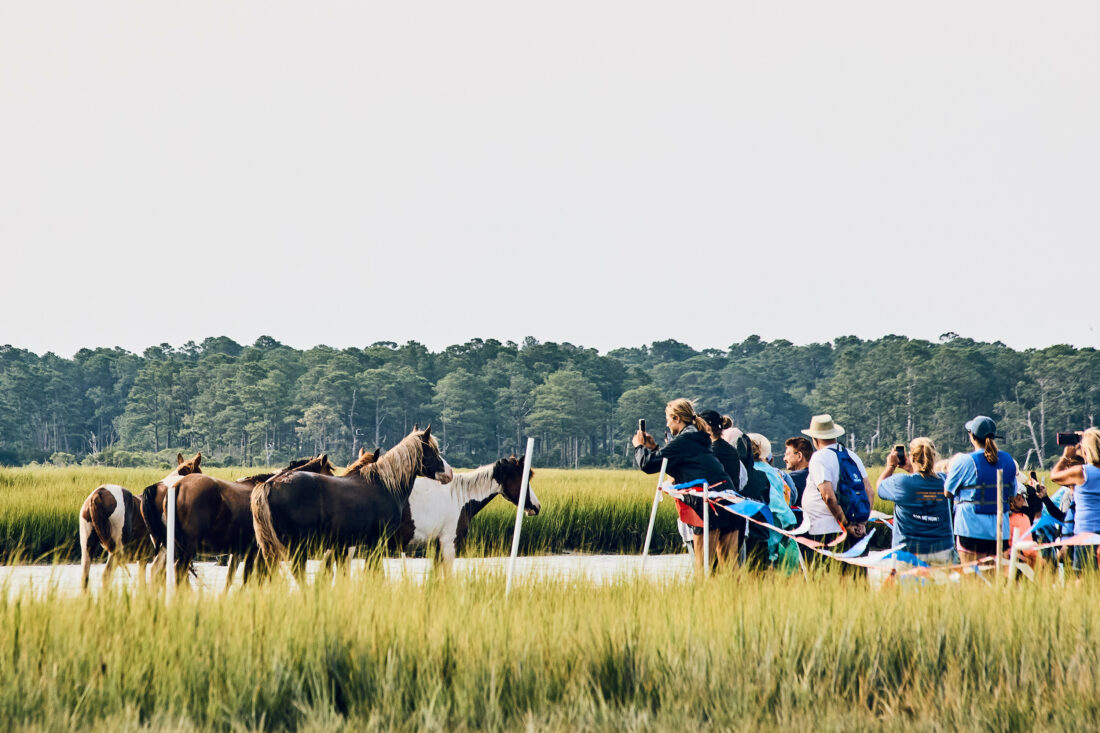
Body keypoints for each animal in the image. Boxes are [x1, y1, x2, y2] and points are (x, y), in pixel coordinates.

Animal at [141, 454, 337, 588]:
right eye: (329, 471)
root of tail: (177, 486)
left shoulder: (240, 552)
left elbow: (236, 579)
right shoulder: (257, 551)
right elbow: (256, 578)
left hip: (169, 547)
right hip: (186, 548)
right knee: (179, 574)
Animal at [251, 426, 453, 575]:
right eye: (433, 450)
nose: (449, 473)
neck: (385, 484)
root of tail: (269, 484)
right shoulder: (377, 542)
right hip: (297, 546)